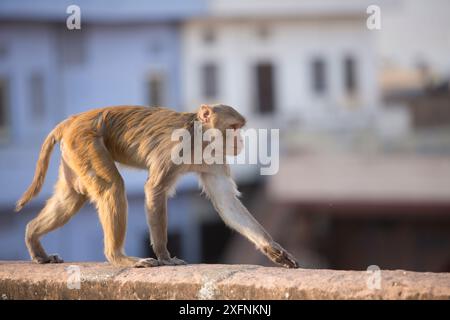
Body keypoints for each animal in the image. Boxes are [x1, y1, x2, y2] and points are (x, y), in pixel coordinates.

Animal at [16, 104, 298, 268]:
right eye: (234, 127)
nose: (240, 141)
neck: (200, 140)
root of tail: (73, 119)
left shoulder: (216, 159)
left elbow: (226, 202)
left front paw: (273, 249)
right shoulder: (175, 148)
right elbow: (155, 189)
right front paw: (164, 255)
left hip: (74, 152)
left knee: (72, 197)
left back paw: (33, 238)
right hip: (85, 141)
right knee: (112, 187)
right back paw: (118, 257)